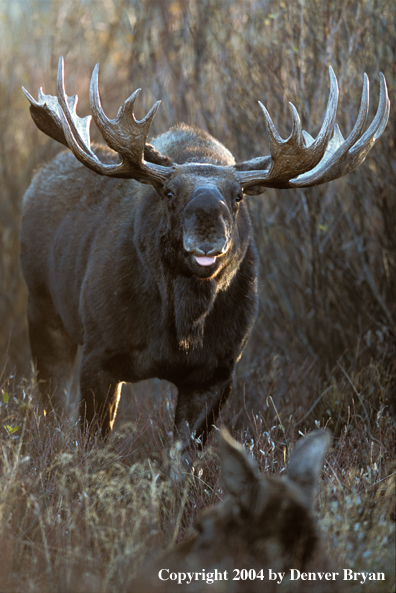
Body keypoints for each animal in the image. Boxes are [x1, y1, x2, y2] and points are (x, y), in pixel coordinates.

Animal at [20, 57, 388, 456]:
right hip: (43, 312)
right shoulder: (98, 354)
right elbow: (90, 442)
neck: (182, 325)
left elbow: (183, 458)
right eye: (168, 192)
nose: (208, 226)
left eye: (238, 195)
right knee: (52, 404)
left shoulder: (217, 373)